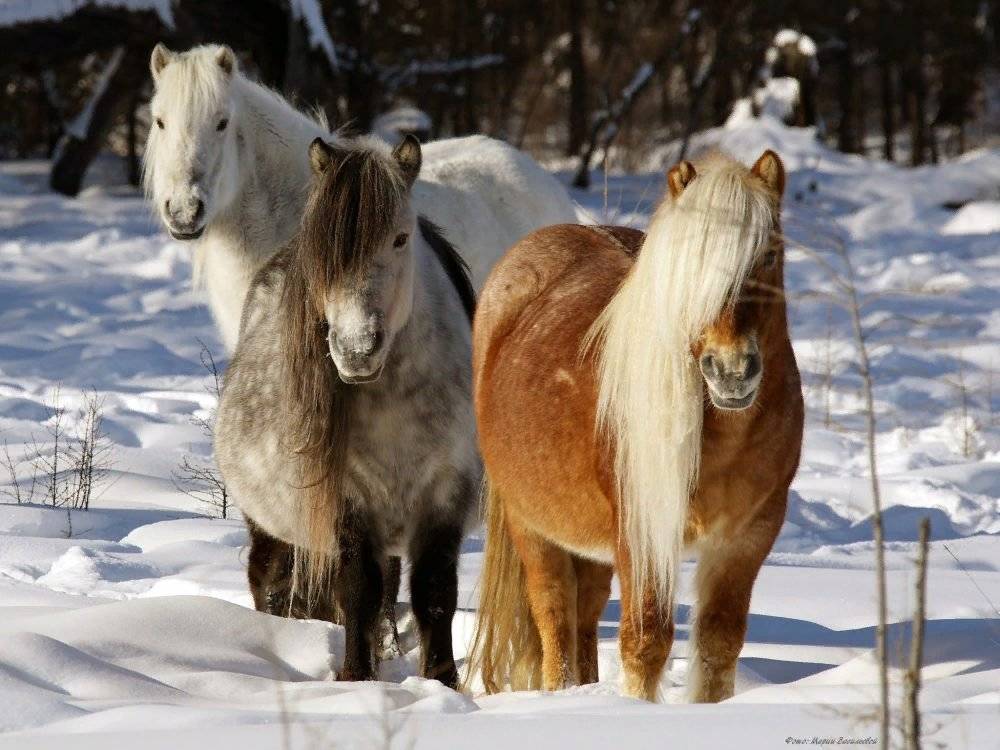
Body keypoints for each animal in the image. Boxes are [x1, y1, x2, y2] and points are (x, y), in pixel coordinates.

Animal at [468, 150, 804, 704]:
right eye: (687, 265)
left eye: (770, 255)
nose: (732, 370)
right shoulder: (642, 531)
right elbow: (646, 641)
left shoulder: (748, 536)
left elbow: (719, 643)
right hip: (531, 526)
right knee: (554, 618)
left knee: (584, 616)